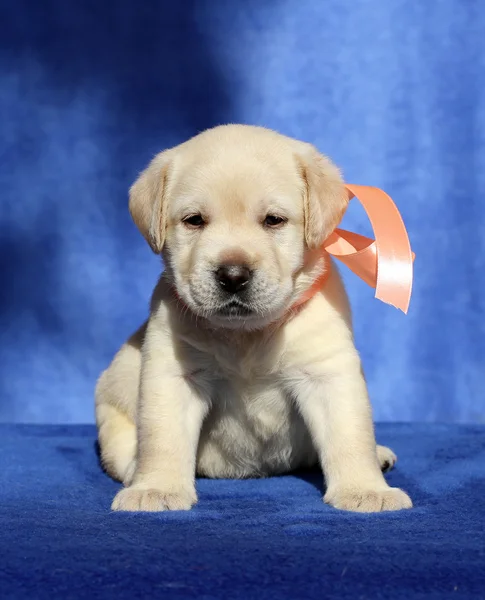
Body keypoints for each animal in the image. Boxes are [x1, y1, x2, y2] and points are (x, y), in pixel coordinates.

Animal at [95, 124, 412, 512]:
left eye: (273, 220)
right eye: (194, 220)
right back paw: (134, 471)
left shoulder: (328, 372)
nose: (232, 275)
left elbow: (350, 436)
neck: (247, 334)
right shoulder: (174, 376)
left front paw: (365, 490)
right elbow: (162, 439)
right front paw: (156, 488)